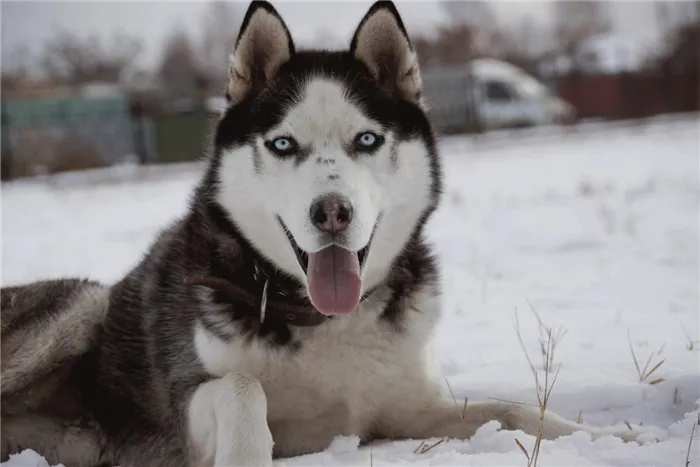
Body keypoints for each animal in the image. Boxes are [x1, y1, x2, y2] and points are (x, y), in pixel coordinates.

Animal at [0, 0, 644, 467]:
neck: (325, 319)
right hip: (84, 305)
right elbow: (244, 387)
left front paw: (619, 439)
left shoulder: (405, 409)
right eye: (284, 143)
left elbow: (512, 411)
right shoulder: (184, 411)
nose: (331, 212)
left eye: (367, 139)